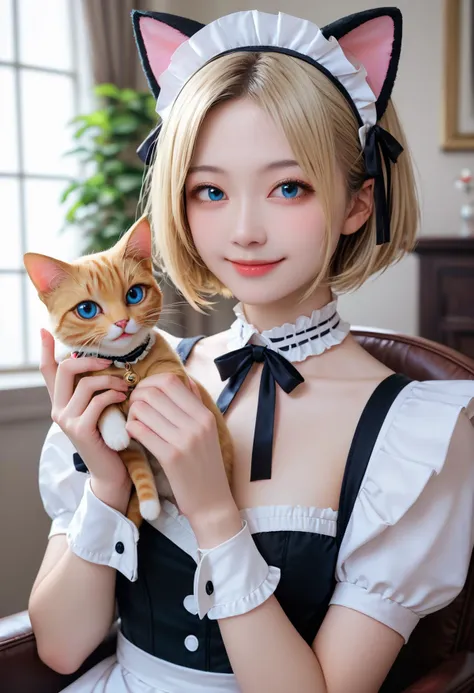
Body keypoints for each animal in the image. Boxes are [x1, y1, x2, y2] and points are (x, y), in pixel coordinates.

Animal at [23, 216, 234, 524]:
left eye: (134, 294)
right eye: (87, 309)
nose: (122, 322)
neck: (125, 364)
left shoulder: (170, 368)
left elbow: (165, 382)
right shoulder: (82, 377)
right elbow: (104, 408)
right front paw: (115, 429)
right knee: (137, 465)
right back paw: (149, 504)